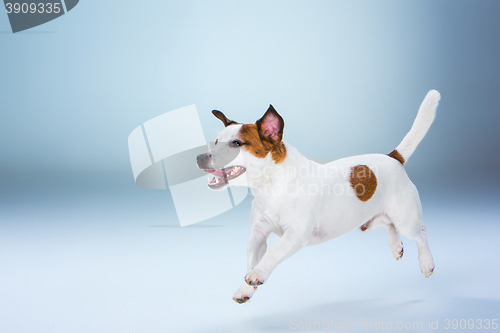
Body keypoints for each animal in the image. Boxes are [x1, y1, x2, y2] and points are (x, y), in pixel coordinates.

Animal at [197, 89, 440, 302]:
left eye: (237, 143)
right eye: (216, 141)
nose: (199, 158)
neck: (272, 185)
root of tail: (393, 157)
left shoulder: (296, 235)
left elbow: (273, 252)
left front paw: (258, 273)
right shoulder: (257, 234)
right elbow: (252, 260)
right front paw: (245, 289)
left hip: (406, 218)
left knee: (421, 232)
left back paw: (426, 262)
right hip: (369, 221)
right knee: (389, 224)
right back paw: (396, 246)